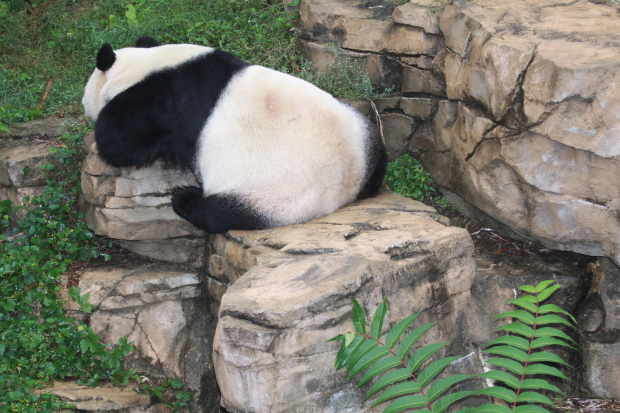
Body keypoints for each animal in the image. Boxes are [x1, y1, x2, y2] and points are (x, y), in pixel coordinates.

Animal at [80, 37, 386, 233]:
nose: (83, 104)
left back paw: (186, 198)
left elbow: (120, 143)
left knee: (219, 214)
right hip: (362, 130)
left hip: (272, 197)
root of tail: (345, 190)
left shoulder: (157, 102)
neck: (145, 65)